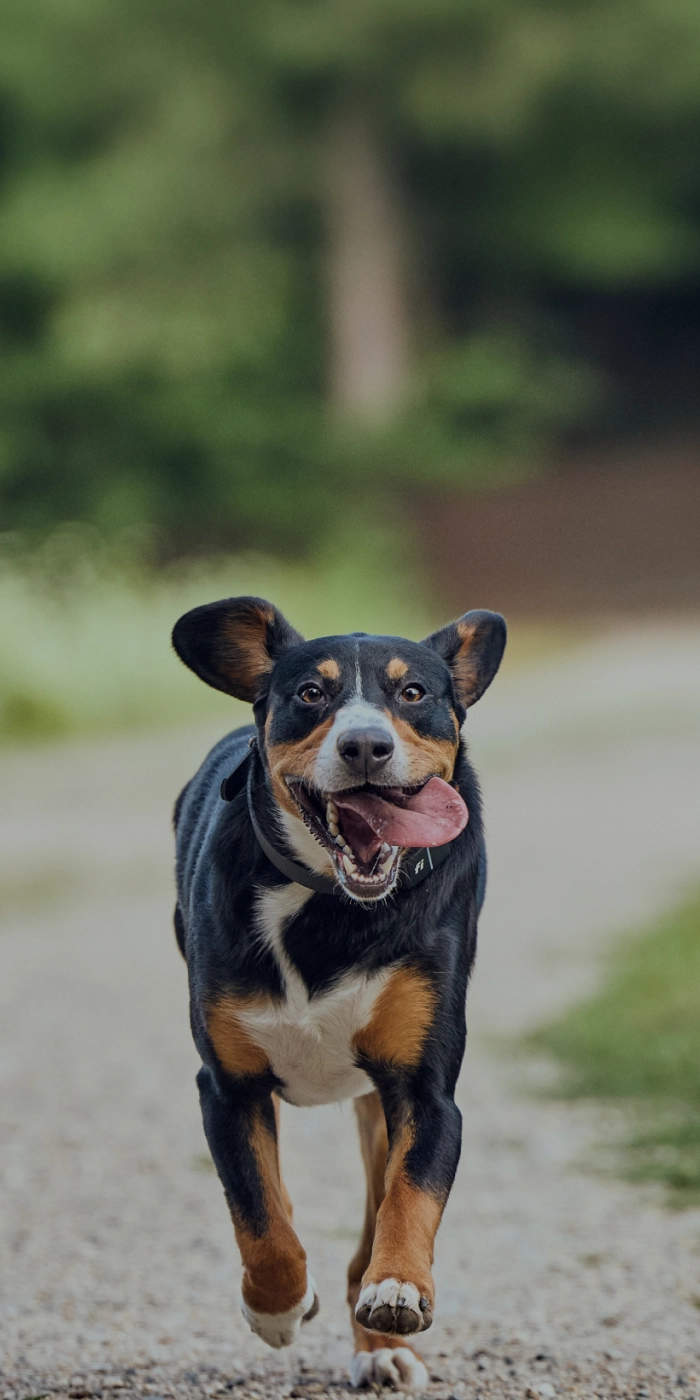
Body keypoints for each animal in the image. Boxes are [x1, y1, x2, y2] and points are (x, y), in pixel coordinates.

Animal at [172, 596, 506, 1394]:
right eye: (310, 694)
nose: (365, 746)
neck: (329, 905)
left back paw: (380, 1341)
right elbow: (259, 1211)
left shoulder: (423, 1089)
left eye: (412, 692)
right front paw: (277, 1307)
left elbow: (409, 1195)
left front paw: (399, 1290)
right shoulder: (227, 1087)